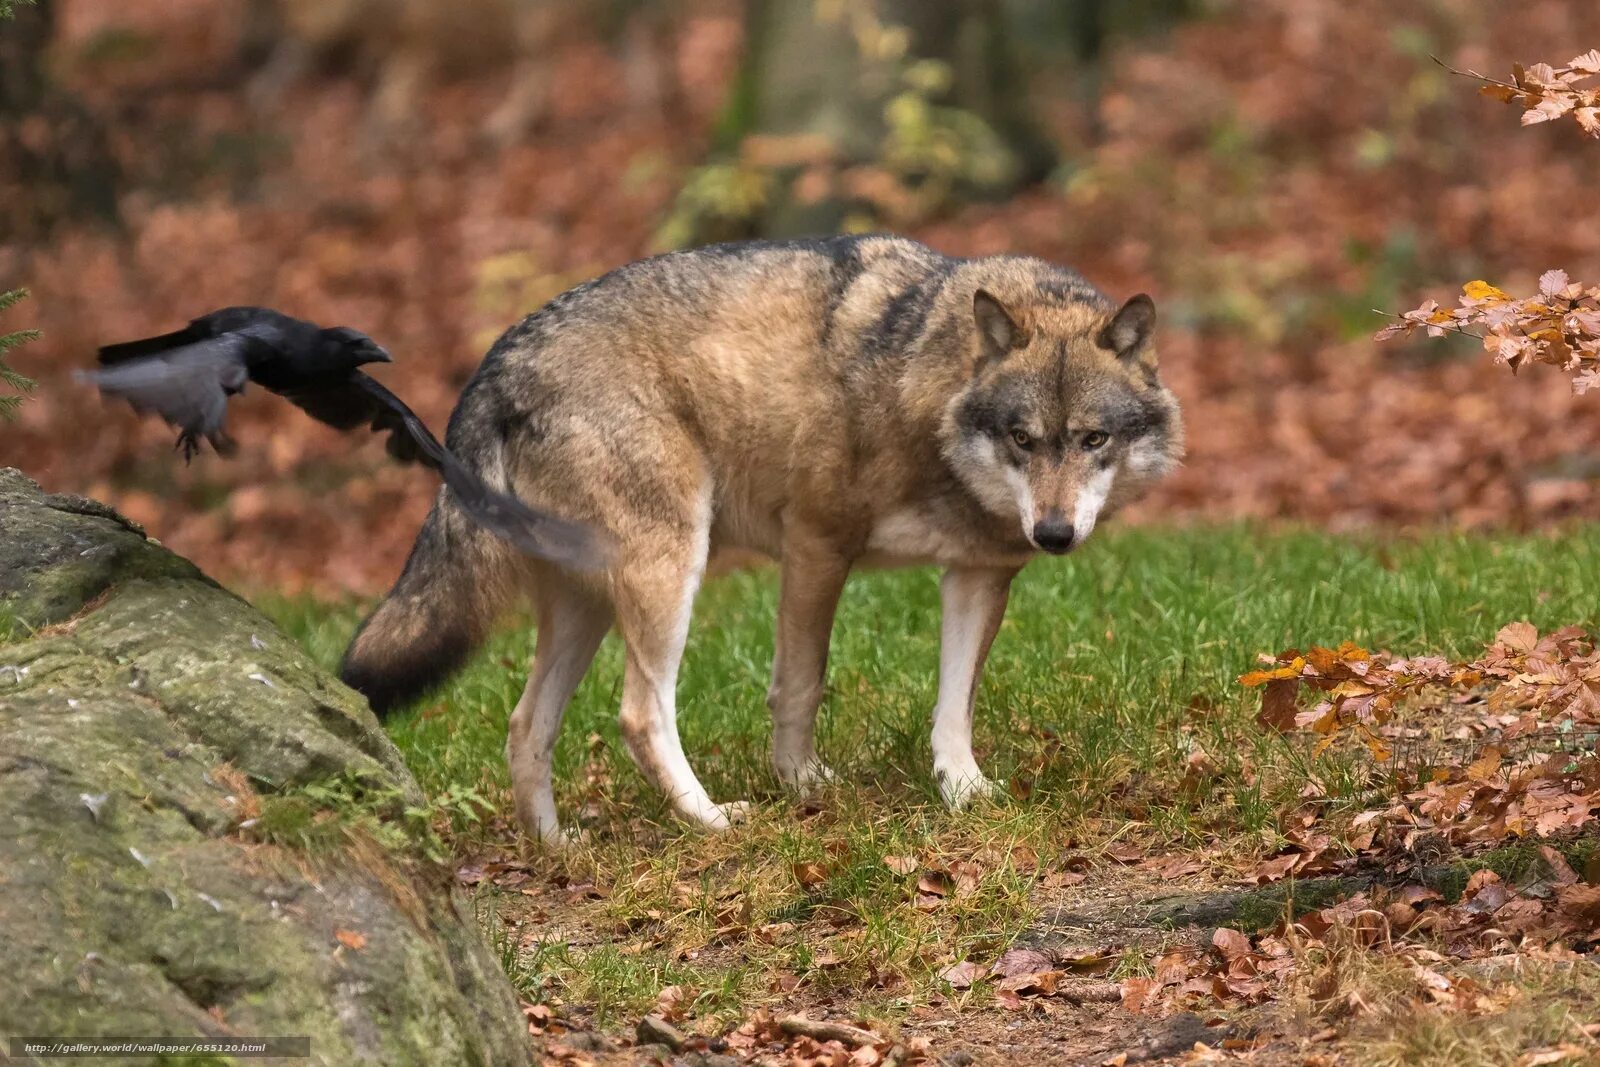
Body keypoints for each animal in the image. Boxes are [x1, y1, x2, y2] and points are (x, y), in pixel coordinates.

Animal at [340, 235, 1190, 844]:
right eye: (1022, 438)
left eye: (1091, 439)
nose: (1053, 532)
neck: (926, 384)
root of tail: (495, 362)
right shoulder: (816, 544)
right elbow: (801, 684)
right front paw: (802, 785)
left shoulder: (978, 573)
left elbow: (955, 701)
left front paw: (962, 789)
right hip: (670, 567)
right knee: (640, 714)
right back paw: (712, 820)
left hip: (588, 605)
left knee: (525, 726)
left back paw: (558, 849)